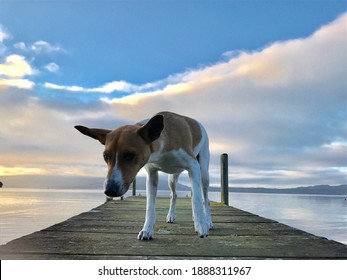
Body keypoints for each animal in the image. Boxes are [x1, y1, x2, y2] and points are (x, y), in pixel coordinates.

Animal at [75, 110, 213, 240]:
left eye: (130, 155)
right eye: (105, 156)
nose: (109, 190)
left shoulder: (193, 167)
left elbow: (197, 200)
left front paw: (201, 226)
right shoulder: (152, 174)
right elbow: (150, 207)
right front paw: (147, 230)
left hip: (203, 173)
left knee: (205, 198)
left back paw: (207, 221)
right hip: (173, 178)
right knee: (174, 195)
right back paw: (172, 215)